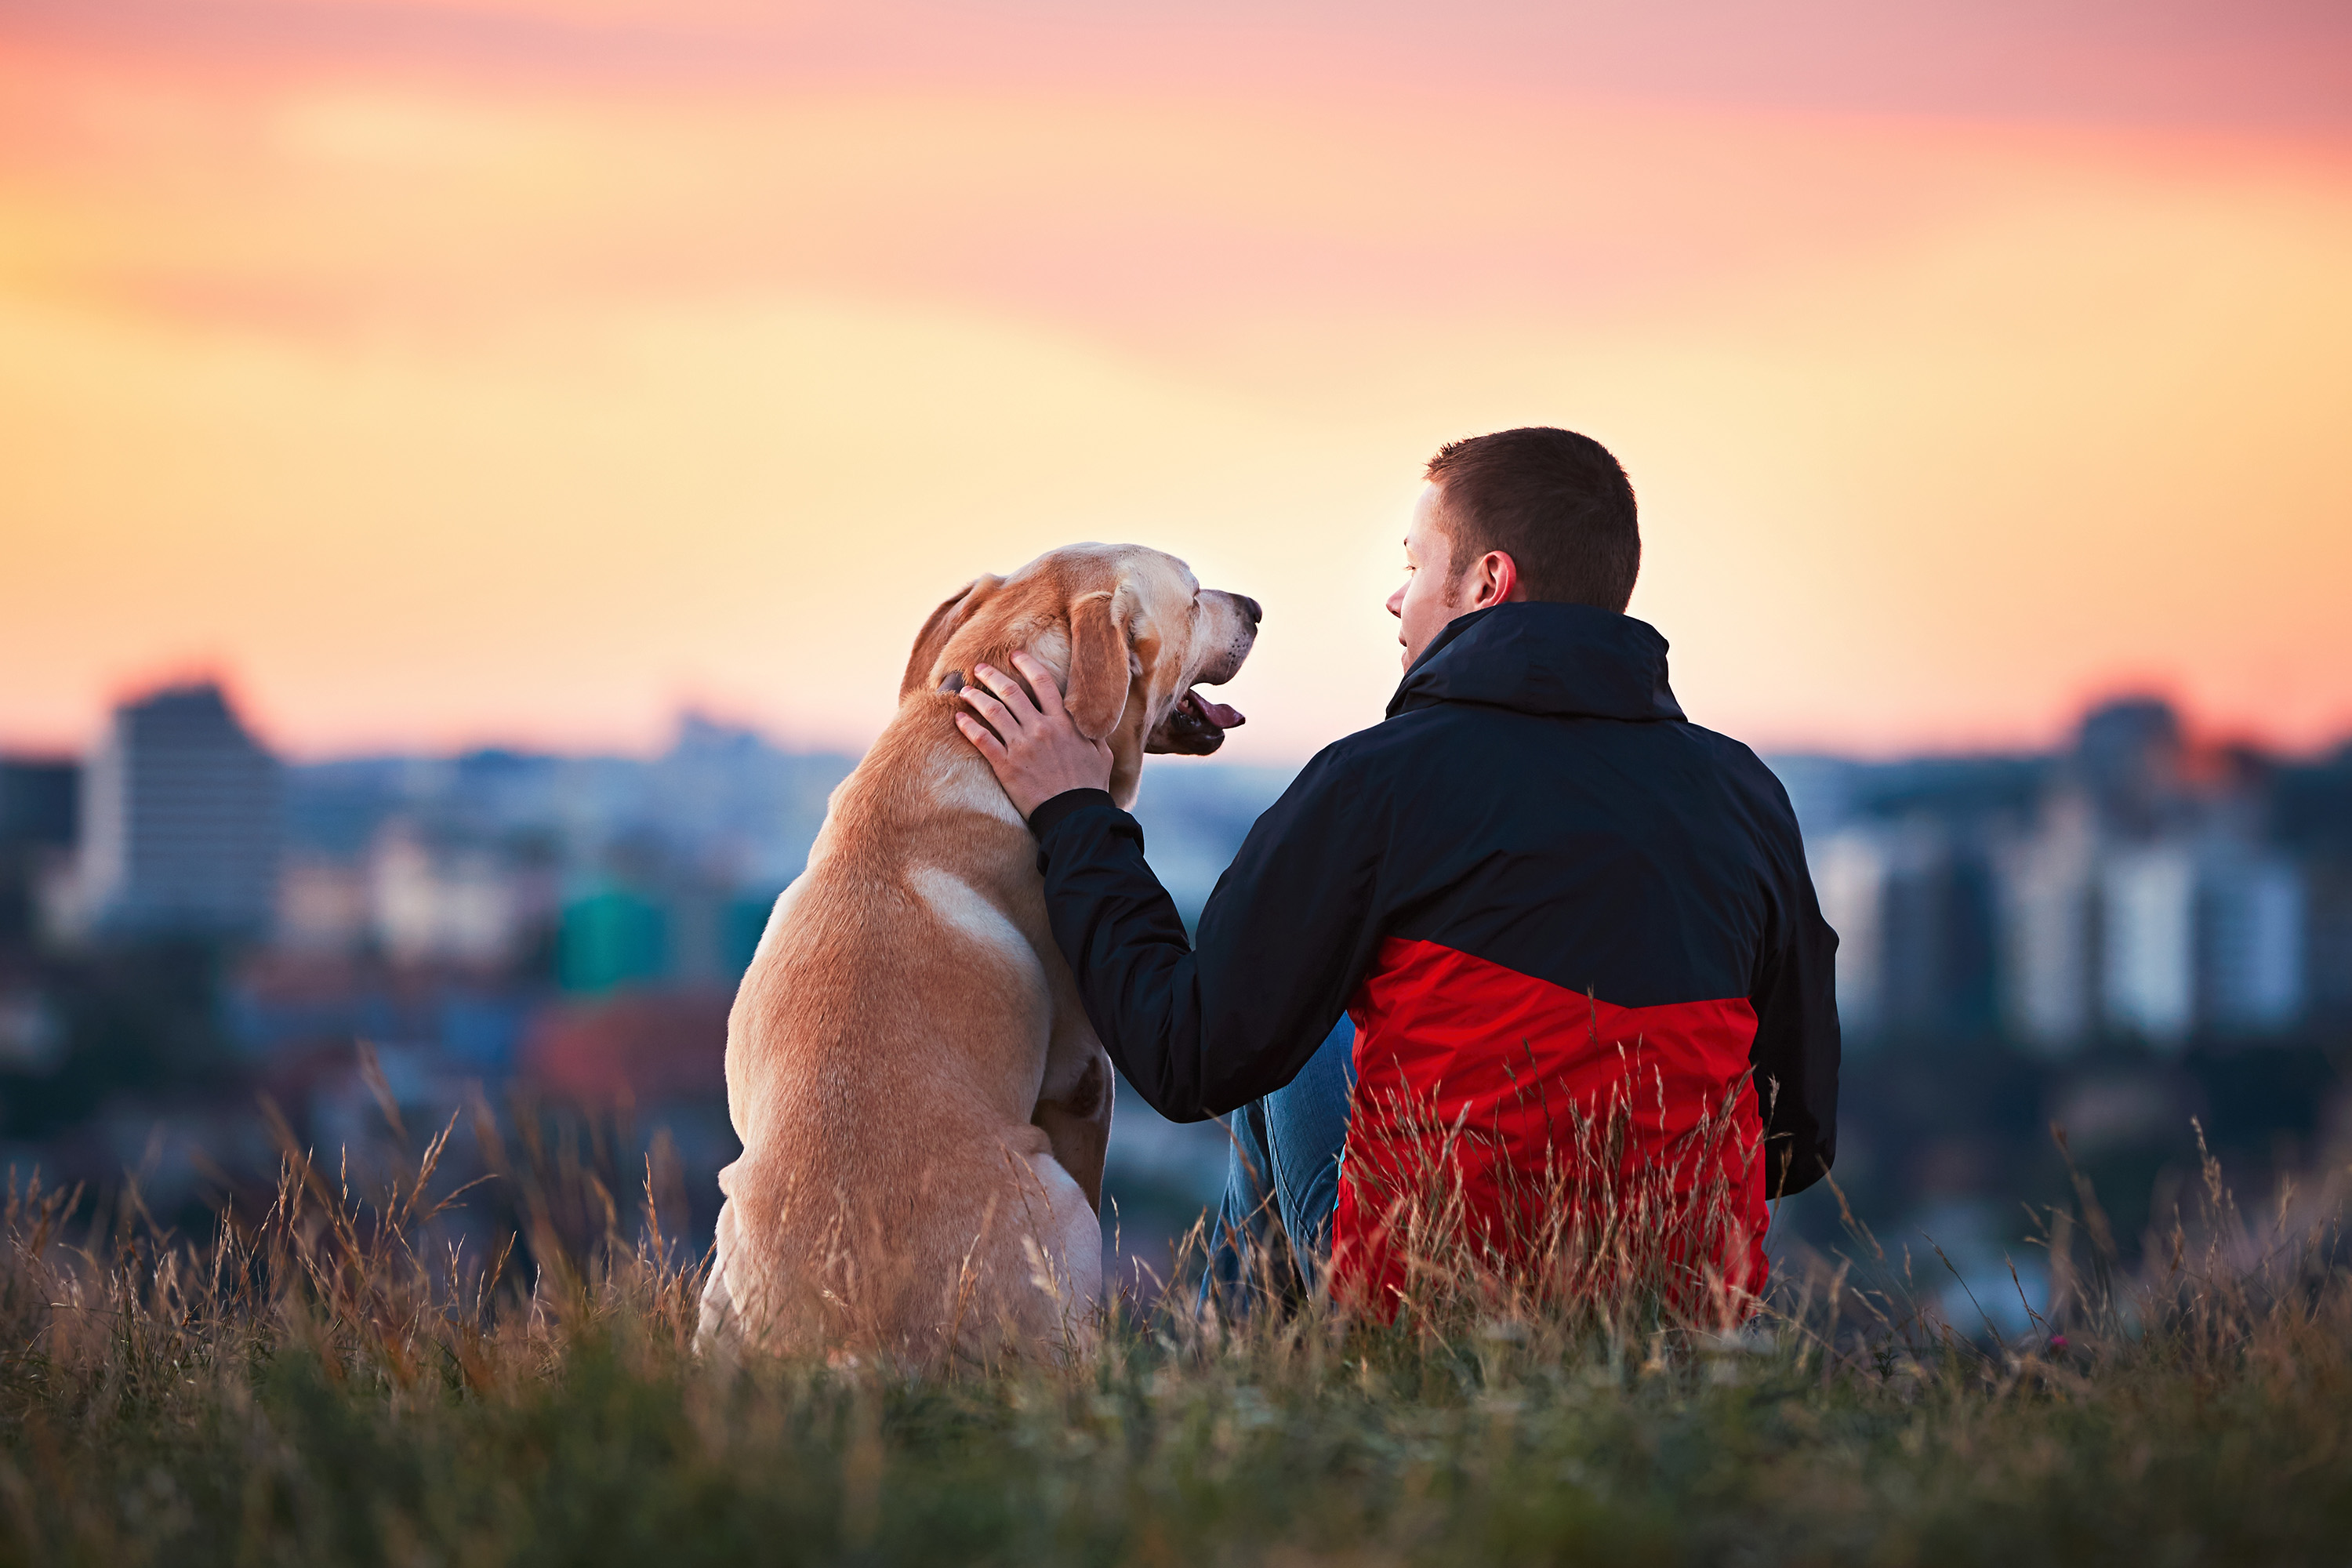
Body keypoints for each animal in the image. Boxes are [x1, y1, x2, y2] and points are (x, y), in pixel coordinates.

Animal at [691, 545, 1261, 1363]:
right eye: (1190, 598)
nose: (1256, 608)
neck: (963, 732)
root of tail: (853, 1342)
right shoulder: (1085, 1078)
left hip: (721, 1255)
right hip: (1058, 1205)